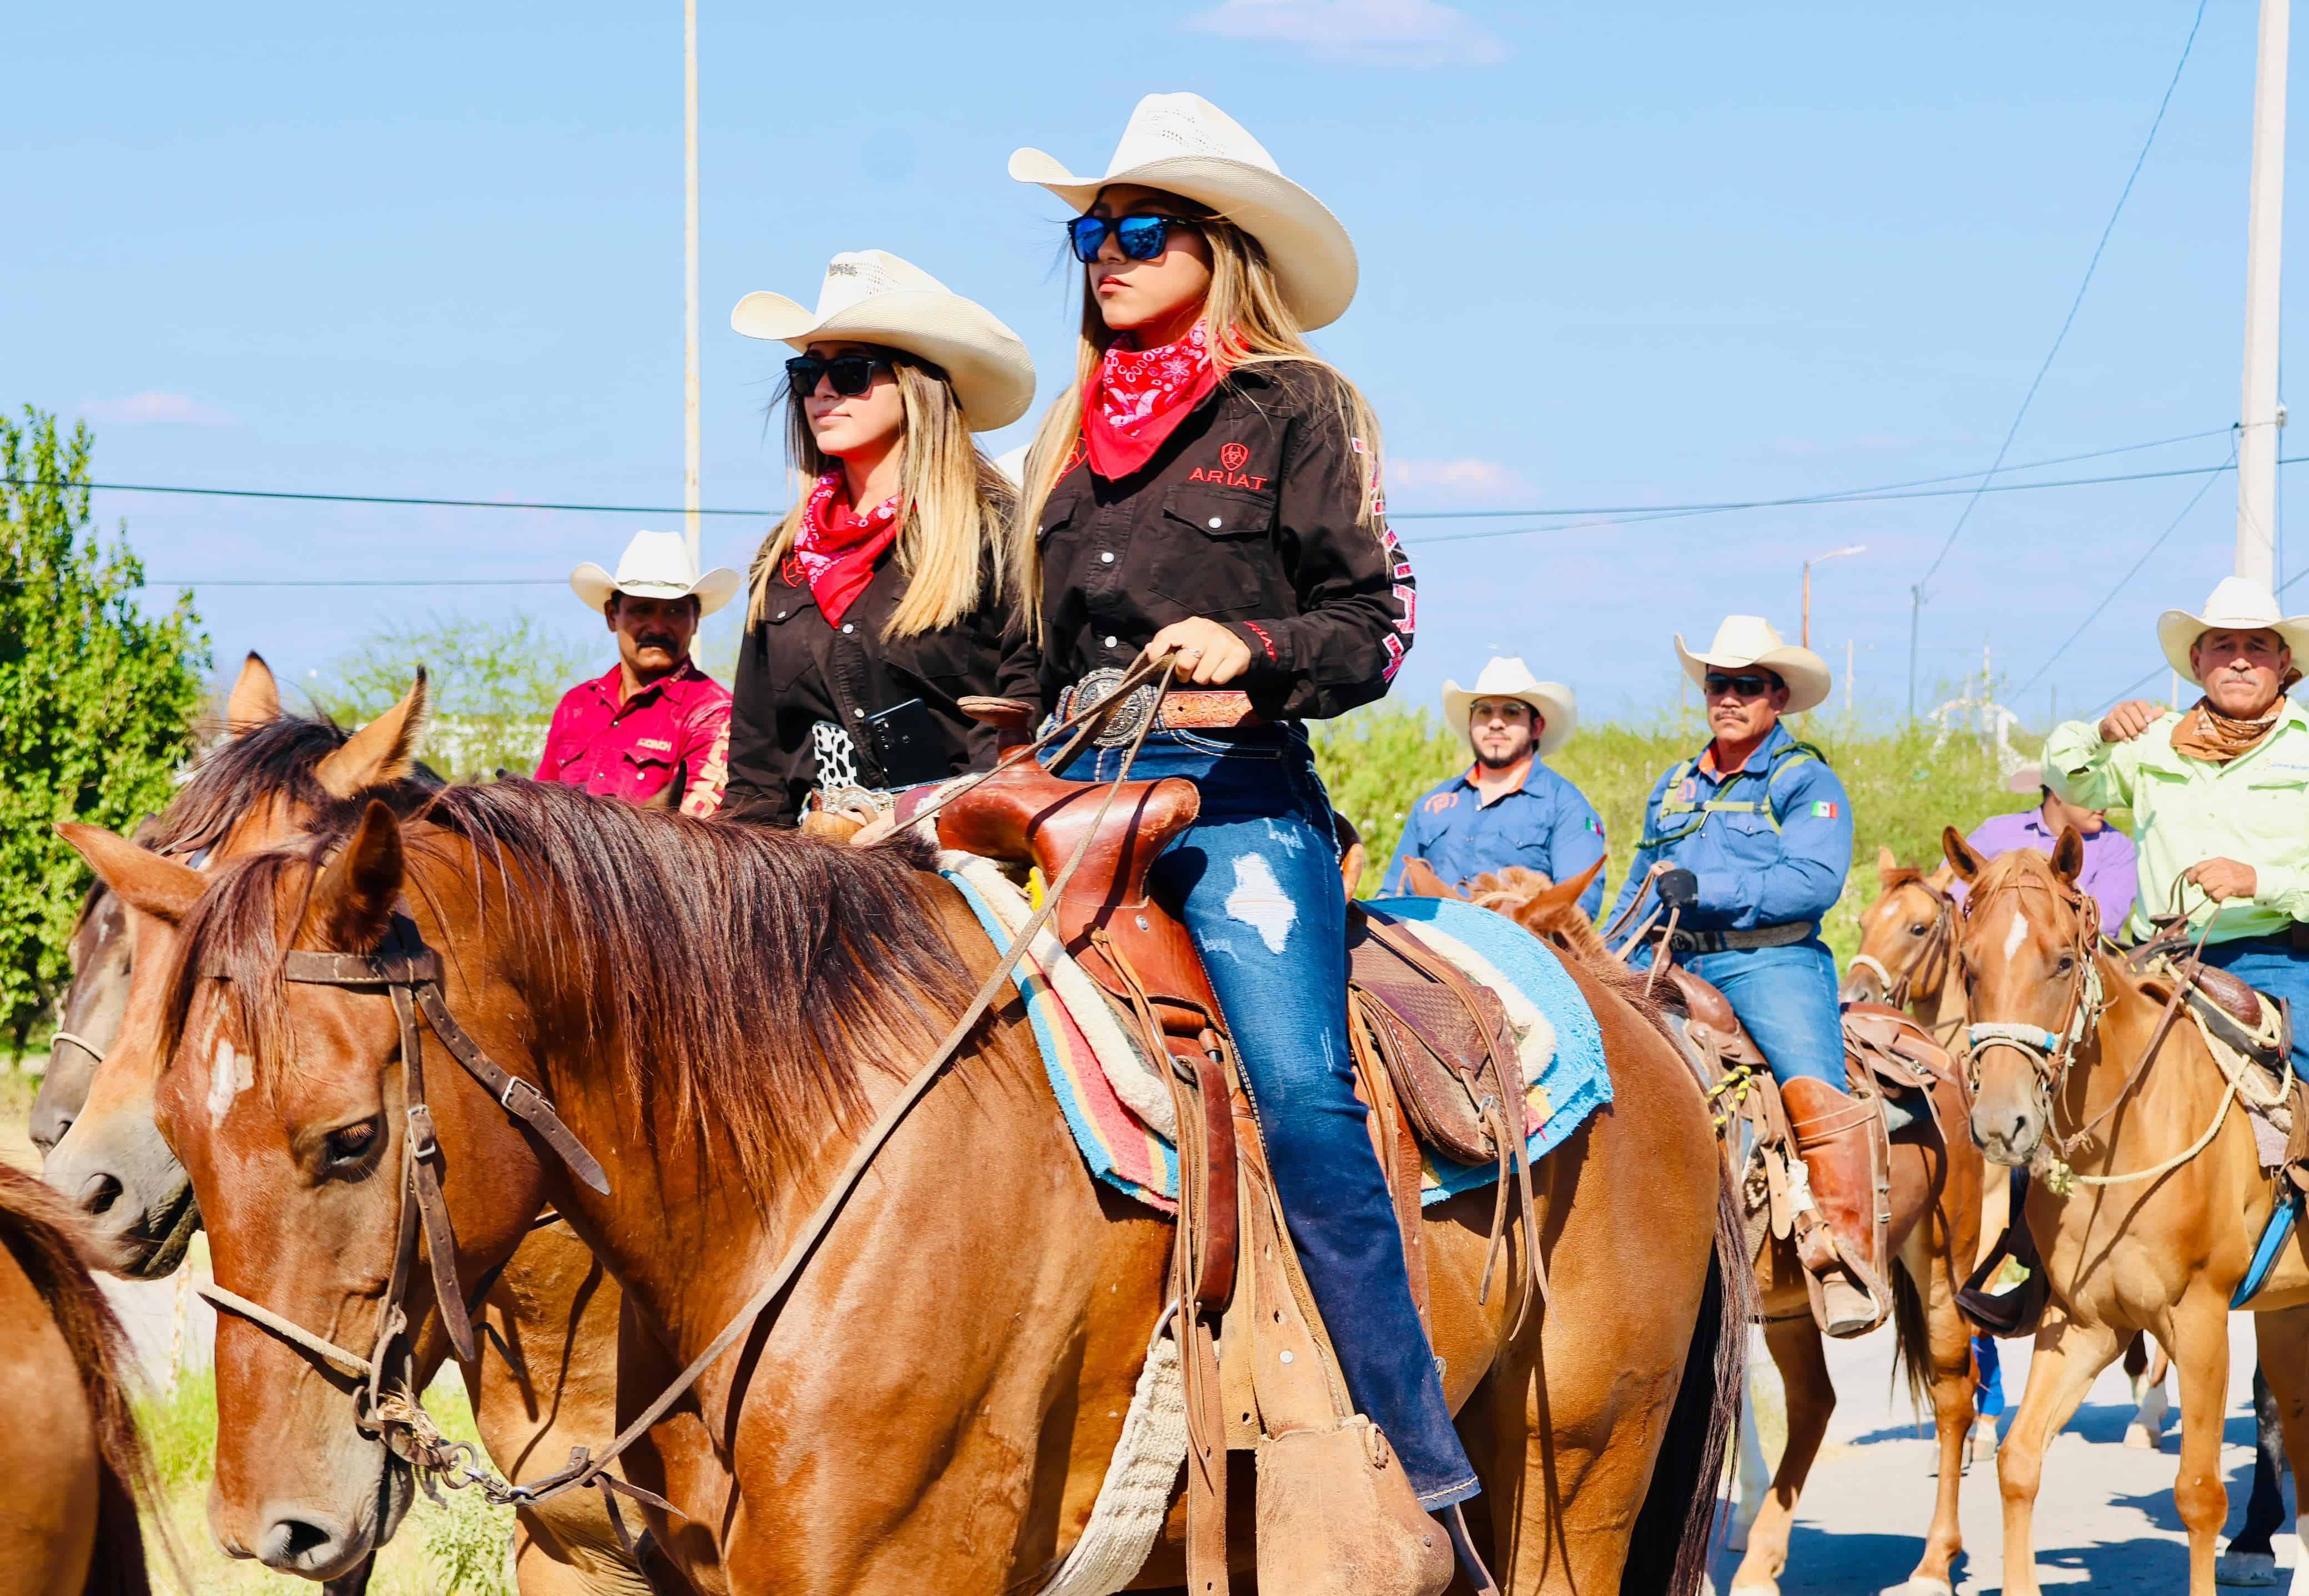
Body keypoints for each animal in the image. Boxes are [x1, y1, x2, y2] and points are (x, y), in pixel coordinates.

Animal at [81, 785, 1745, 1596]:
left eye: (351, 1137)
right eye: (190, 1129)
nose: (271, 1525)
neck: (791, 1161)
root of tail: (1642, 1020)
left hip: (1576, 1481)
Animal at [1459, 863, 1985, 1596]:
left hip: (1941, 1255)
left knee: (1952, 1390)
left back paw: (1934, 1560)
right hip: (1793, 1303)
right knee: (1813, 1403)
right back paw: (1761, 1558)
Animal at [1949, 836, 2309, 1596]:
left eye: (2061, 960)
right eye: (1967, 964)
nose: (2000, 1124)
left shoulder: (2198, 1317)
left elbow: (2198, 1493)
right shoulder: (2084, 1323)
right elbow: (2018, 1461)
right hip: (2287, 1312)